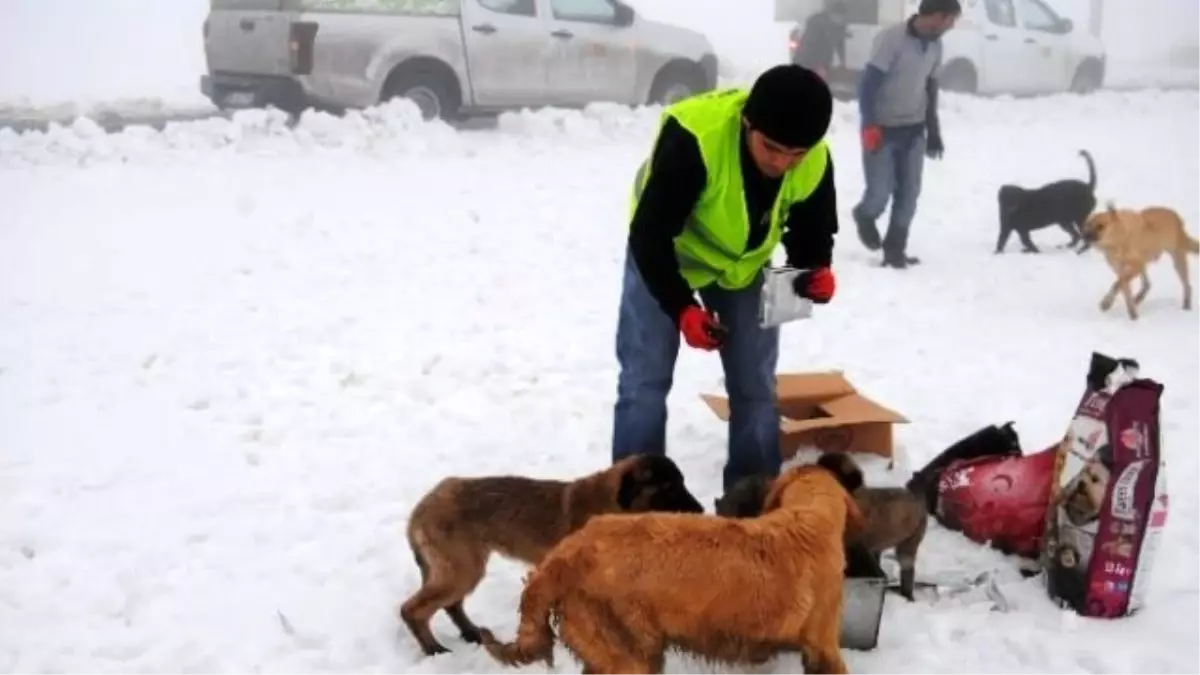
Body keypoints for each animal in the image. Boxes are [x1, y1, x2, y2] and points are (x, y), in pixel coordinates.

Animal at [400, 451, 700, 653]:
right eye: (668, 488)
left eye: (682, 482)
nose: (700, 510)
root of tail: (422, 506)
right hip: (462, 569)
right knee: (412, 610)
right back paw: (433, 649)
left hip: (461, 569)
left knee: (450, 604)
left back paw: (470, 632)